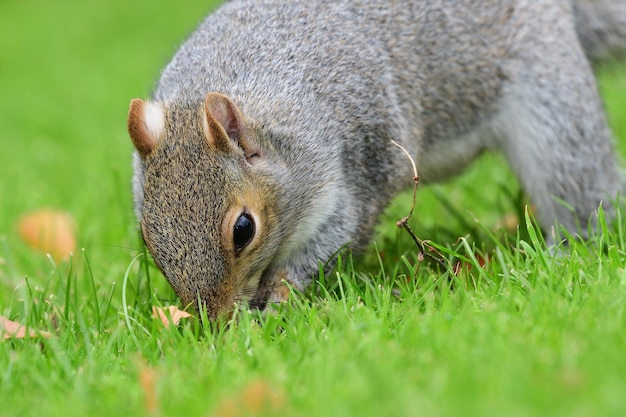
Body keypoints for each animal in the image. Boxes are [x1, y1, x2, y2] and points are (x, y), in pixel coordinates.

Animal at [127, 0, 624, 316]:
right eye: (148, 236)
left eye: (243, 229)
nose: (215, 321)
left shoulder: (355, 174)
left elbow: (332, 241)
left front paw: (277, 302)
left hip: (552, 108)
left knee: (582, 189)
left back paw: (565, 254)